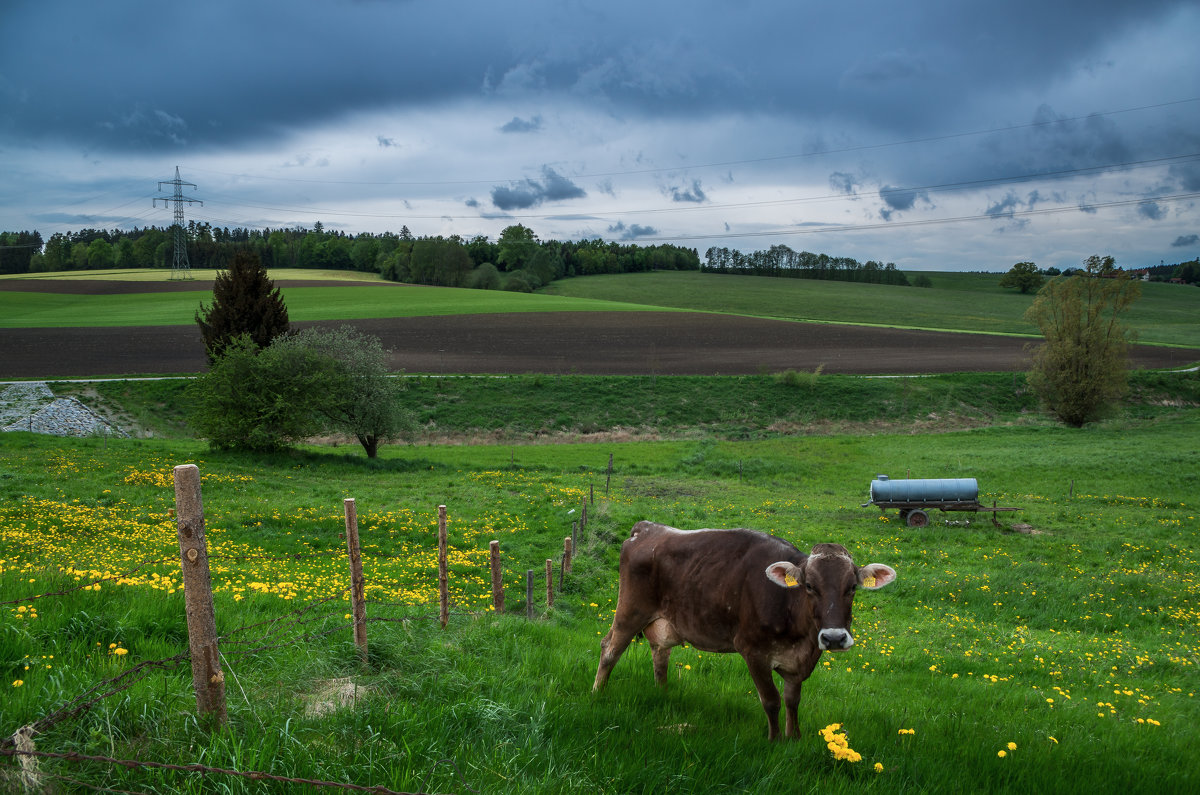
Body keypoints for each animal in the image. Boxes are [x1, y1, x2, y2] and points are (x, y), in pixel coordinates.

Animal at [595, 523, 897, 739]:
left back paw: (663, 695)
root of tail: (647, 528)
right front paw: (775, 741)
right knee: (610, 649)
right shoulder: (753, 651)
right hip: (631, 610)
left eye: (852, 587)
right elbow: (772, 700)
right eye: (810, 586)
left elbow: (793, 700)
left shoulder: (798, 661)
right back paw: (597, 693)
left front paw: (794, 737)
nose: (834, 638)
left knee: (660, 654)